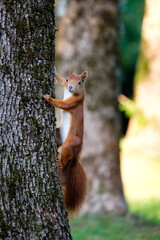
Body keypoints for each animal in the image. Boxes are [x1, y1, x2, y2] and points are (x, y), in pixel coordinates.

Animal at [42, 67, 87, 212]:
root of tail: (76, 156)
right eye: (68, 79)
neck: (70, 93)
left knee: (65, 155)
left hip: (70, 143)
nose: (71, 87)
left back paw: (60, 162)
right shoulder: (64, 87)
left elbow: (62, 104)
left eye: (79, 82)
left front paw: (49, 98)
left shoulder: (75, 101)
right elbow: (60, 82)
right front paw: (55, 71)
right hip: (59, 136)